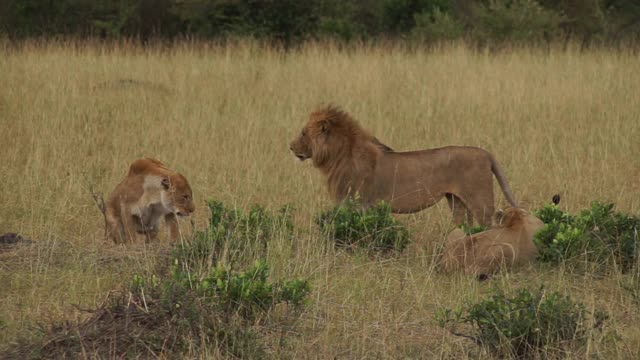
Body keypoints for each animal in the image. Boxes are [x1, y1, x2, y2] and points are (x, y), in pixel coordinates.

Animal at [290, 105, 520, 226]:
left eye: (303, 133)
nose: (290, 147)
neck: (338, 156)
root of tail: (486, 153)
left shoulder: (361, 204)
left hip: (481, 202)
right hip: (457, 201)